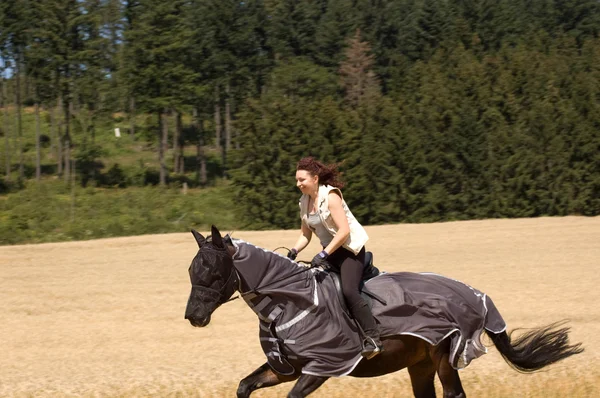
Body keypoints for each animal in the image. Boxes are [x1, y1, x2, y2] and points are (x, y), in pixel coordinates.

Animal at [185, 225, 584, 396]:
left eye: (213, 269)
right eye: (192, 269)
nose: (194, 317)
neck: (291, 301)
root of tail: (476, 295)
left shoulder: (322, 367)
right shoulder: (287, 368)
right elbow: (244, 386)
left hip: (444, 358)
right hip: (419, 364)